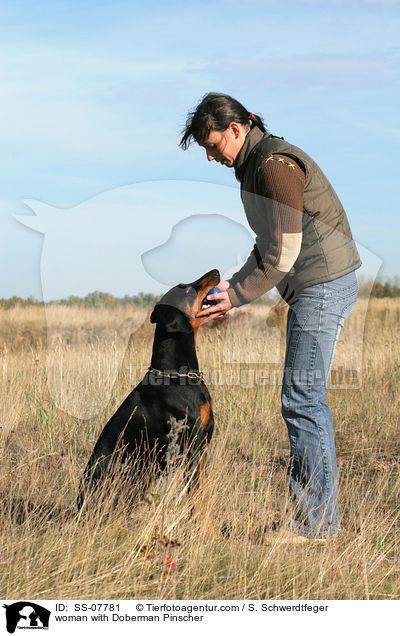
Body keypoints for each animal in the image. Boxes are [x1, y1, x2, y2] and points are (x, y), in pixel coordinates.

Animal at [76, 268, 219, 532]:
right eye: (185, 288)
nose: (215, 271)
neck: (177, 376)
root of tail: (78, 505)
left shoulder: (202, 448)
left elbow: (202, 494)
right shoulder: (192, 447)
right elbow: (196, 496)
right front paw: (206, 533)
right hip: (133, 472)